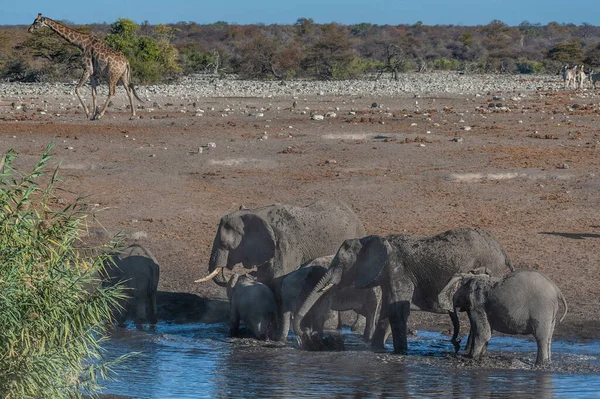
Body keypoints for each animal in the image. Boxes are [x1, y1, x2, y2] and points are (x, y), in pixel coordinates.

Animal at [292, 228, 512, 354]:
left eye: (339, 264)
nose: (305, 337)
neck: (371, 240)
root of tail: (503, 251)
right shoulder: (388, 274)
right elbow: (387, 311)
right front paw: (378, 349)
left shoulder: (398, 269)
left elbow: (397, 311)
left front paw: (400, 353)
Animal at [436, 268, 568, 366]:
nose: (457, 343)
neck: (472, 277)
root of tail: (557, 290)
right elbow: (487, 332)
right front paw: (480, 357)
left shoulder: (477, 304)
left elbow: (483, 333)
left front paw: (470, 358)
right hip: (550, 312)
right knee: (549, 337)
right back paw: (547, 363)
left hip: (542, 309)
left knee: (541, 338)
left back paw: (540, 364)